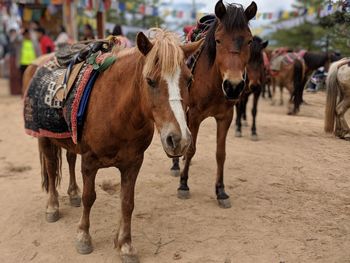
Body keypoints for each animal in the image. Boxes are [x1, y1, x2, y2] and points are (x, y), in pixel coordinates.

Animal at [22, 29, 202, 262]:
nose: (179, 140)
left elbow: (127, 202)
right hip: (44, 138)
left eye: (189, 80)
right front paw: (83, 237)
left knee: (69, 160)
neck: (118, 111)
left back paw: (73, 193)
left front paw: (125, 245)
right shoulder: (90, 162)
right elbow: (89, 197)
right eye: (150, 81)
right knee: (52, 170)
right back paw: (52, 207)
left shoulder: (133, 163)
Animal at [172, 1, 258, 209]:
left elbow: (221, 154)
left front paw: (221, 191)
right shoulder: (195, 115)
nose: (233, 86)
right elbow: (192, 148)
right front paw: (184, 184)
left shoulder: (225, 117)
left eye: (249, 41)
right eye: (218, 41)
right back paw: (176, 164)